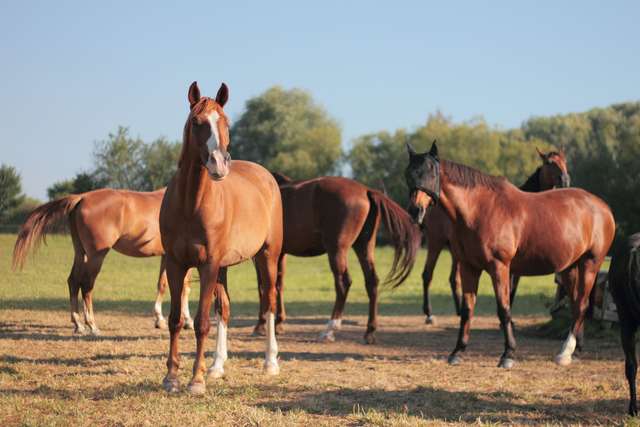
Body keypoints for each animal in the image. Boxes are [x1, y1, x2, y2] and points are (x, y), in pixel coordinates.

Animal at [12, 188, 193, 334]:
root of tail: (82, 197)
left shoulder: (166, 256)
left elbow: (163, 285)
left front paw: (160, 320)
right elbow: (184, 288)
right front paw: (187, 321)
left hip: (81, 253)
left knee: (73, 281)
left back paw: (79, 324)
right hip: (96, 257)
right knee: (86, 285)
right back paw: (92, 325)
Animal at [159, 81, 283, 395]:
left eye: (226, 122)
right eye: (196, 122)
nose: (219, 165)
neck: (191, 203)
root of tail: (266, 176)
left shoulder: (208, 265)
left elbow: (202, 322)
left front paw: (196, 381)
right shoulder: (176, 264)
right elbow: (176, 320)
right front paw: (172, 377)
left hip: (267, 256)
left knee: (270, 302)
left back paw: (270, 362)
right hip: (224, 268)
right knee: (224, 309)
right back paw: (217, 366)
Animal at [253, 172, 420, 344]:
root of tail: (366, 190)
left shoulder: (262, 255)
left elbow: (263, 287)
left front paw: (261, 325)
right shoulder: (280, 254)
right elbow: (277, 285)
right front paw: (278, 323)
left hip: (337, 249)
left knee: (343, 283)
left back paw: (329, 330)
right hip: (364, 246)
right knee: (371, 281)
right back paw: (370, 331)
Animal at [421, 148, 571, 324]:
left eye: (564, 161)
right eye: (549, 162)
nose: (565, 180)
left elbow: (512, 289)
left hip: (455, 253)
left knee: (453, 279)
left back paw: (458, 311)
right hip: (435, 243)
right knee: (427, 275)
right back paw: (429, 314)